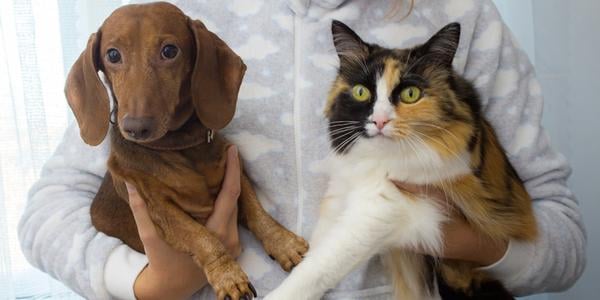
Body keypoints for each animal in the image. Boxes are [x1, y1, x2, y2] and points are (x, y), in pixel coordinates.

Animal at [264, 21, 536, 300]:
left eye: (410, 93)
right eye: (361, 92)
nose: (379, 121)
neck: (376, 160)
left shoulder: (383, 209)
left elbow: (320, 266)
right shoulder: (340, 194)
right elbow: (316, 250)